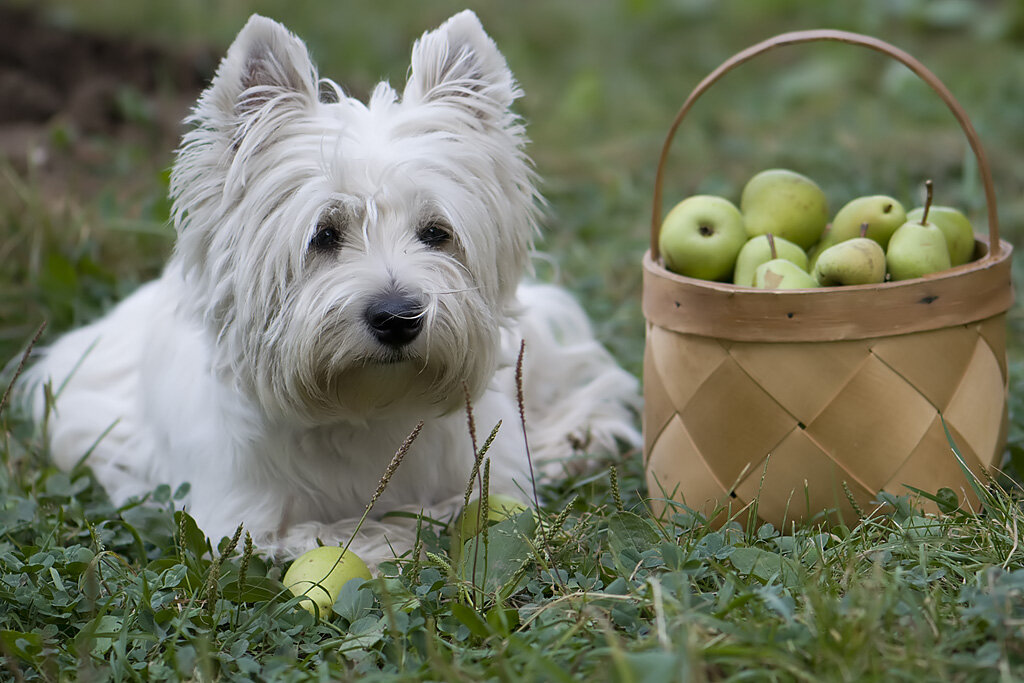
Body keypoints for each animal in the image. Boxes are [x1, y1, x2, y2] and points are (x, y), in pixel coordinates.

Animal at [22, 12, 638, 565]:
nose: (398, 317)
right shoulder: (241, 520)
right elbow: (339, 535)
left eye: (436, 233)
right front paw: (402, 533)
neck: (365, 410)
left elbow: (485, 497)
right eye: (323, 234)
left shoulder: (490, 467)